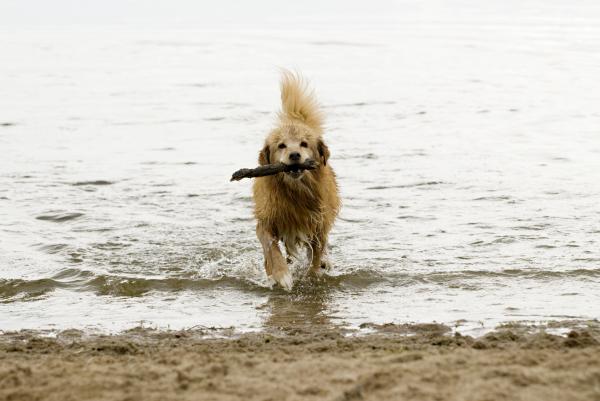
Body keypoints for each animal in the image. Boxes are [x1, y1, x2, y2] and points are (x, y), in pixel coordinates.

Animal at [251, 72, 340, 290]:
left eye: (304, 144)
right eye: (281, 145)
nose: (294, 155)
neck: (295, 193)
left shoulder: (318, 226)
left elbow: (315, 256)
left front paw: (312, 276)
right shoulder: (266, 223)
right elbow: (272, 249)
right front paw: (281, 274)